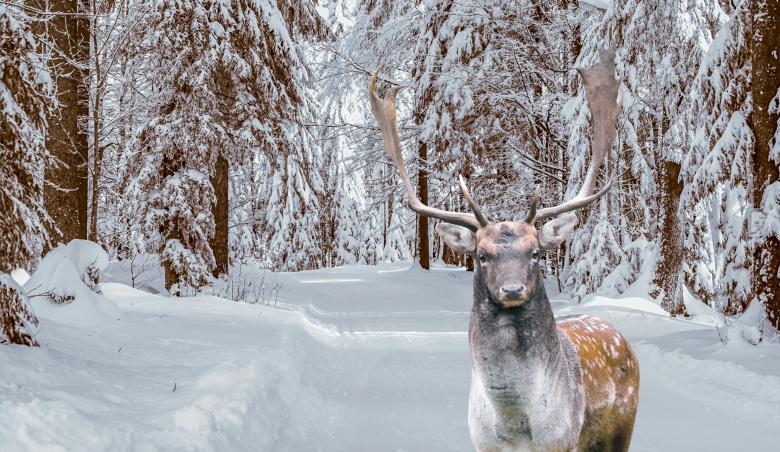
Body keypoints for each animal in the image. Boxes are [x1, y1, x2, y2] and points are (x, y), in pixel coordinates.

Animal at [368, 49, 639, 452]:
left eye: (536, 253)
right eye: (482, 255)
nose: (512, 289)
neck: (515, 427)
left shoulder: (562, 441)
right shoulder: (482, 443)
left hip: (621, 431)